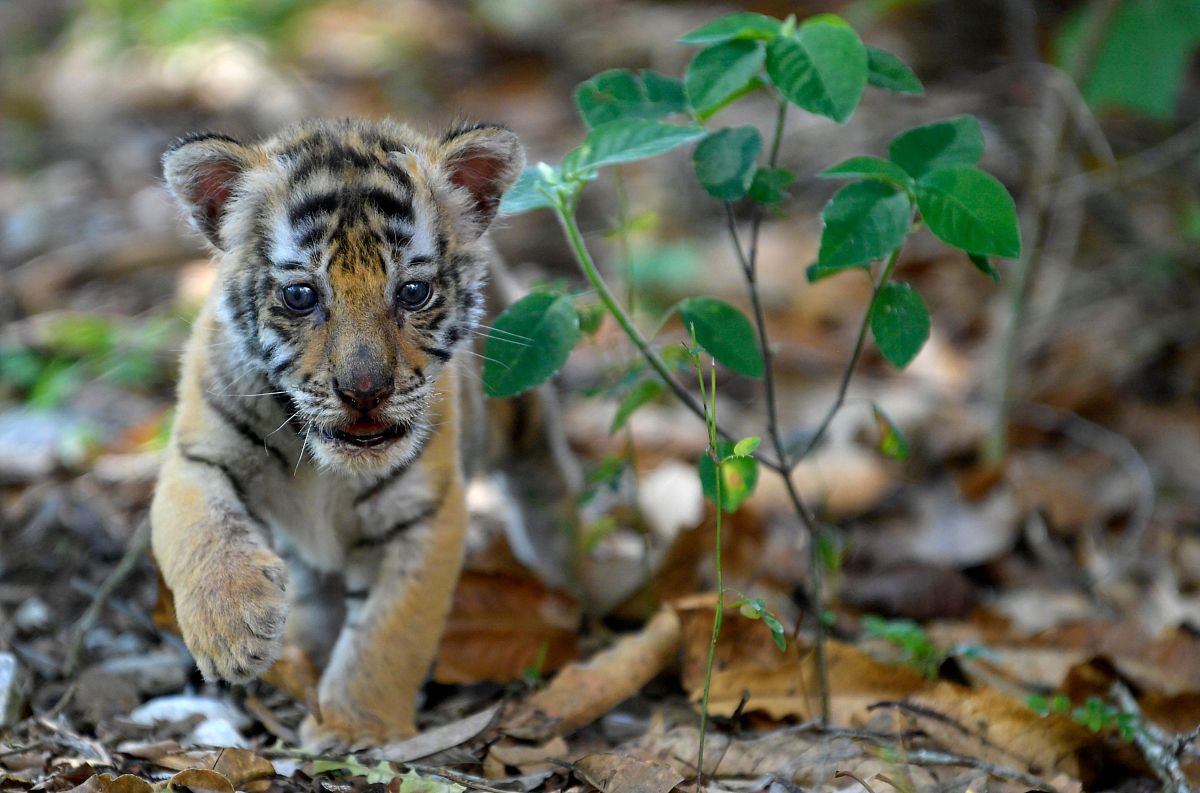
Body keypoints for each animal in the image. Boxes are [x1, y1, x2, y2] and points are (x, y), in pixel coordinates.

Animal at [150, 118, 577, 748]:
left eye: (413, 293)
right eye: (301, 296)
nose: (364, 391)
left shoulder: (422, 513)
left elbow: (389, 629)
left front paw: (357, 729)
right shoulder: (199, 455)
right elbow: (201, 529)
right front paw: (233, 632)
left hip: (524, 424)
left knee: (548, 489)